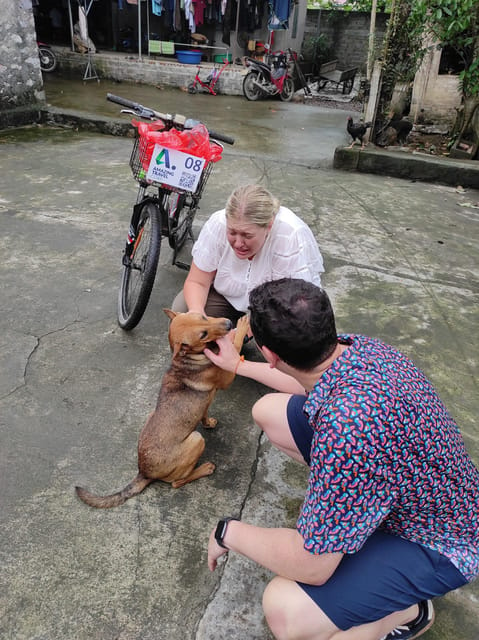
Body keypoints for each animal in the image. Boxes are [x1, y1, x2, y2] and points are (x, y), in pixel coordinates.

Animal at [76, 312, 248, 510]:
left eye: (204, 317)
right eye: (203, 335)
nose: (228, 323)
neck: (187, 358)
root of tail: (144, 472)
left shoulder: (206, 402)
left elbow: (204, 412)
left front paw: (208, 422)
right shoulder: (226, 376)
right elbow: (236, 348)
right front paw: (243, 327)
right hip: (196, 440)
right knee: (177, 482)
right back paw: (205, 468)